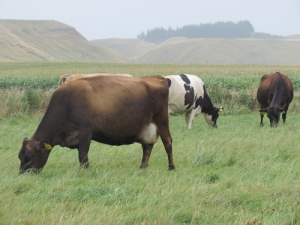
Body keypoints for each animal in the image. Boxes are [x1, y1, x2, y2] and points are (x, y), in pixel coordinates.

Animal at [17, 74, 175, 173]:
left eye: (29, 157)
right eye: (20, 157)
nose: (23, 174)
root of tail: (158, 78)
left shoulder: (86, 131)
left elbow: (83, 154)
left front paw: (86, 171)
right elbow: (81, 155)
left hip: (161, 120)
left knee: (167, 142)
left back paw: (171, 167)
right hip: (147, 127)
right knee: (147, 147)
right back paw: (142, 167)